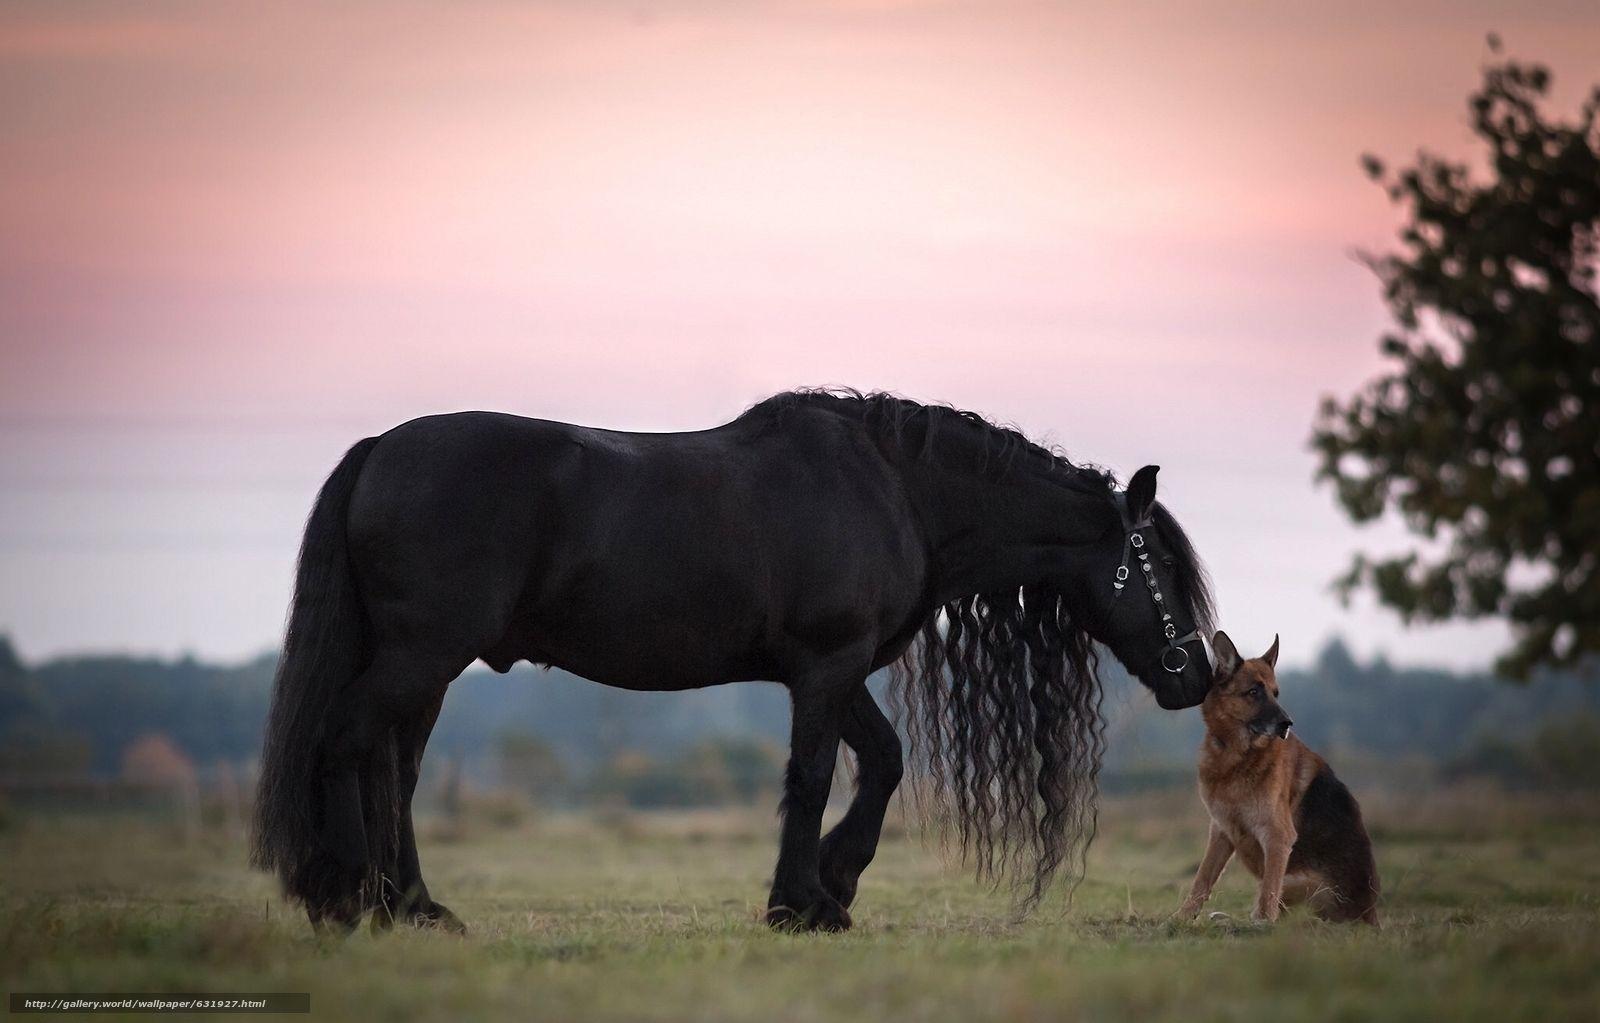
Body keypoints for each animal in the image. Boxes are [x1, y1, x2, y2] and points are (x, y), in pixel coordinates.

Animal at [251, 389, 1215, 934]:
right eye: (1161, 563)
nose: (1197, 673)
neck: (896, 488)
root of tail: (380, 449)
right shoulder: (827, 664)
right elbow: (814, 774)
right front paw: (801, 904)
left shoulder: (834, 668)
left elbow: (883, 761)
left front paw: (834, 881)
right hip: (423, 654)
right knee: (350, 744)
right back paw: (347, 897)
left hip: (424, 665)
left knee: (397, 769)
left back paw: (413, 906)